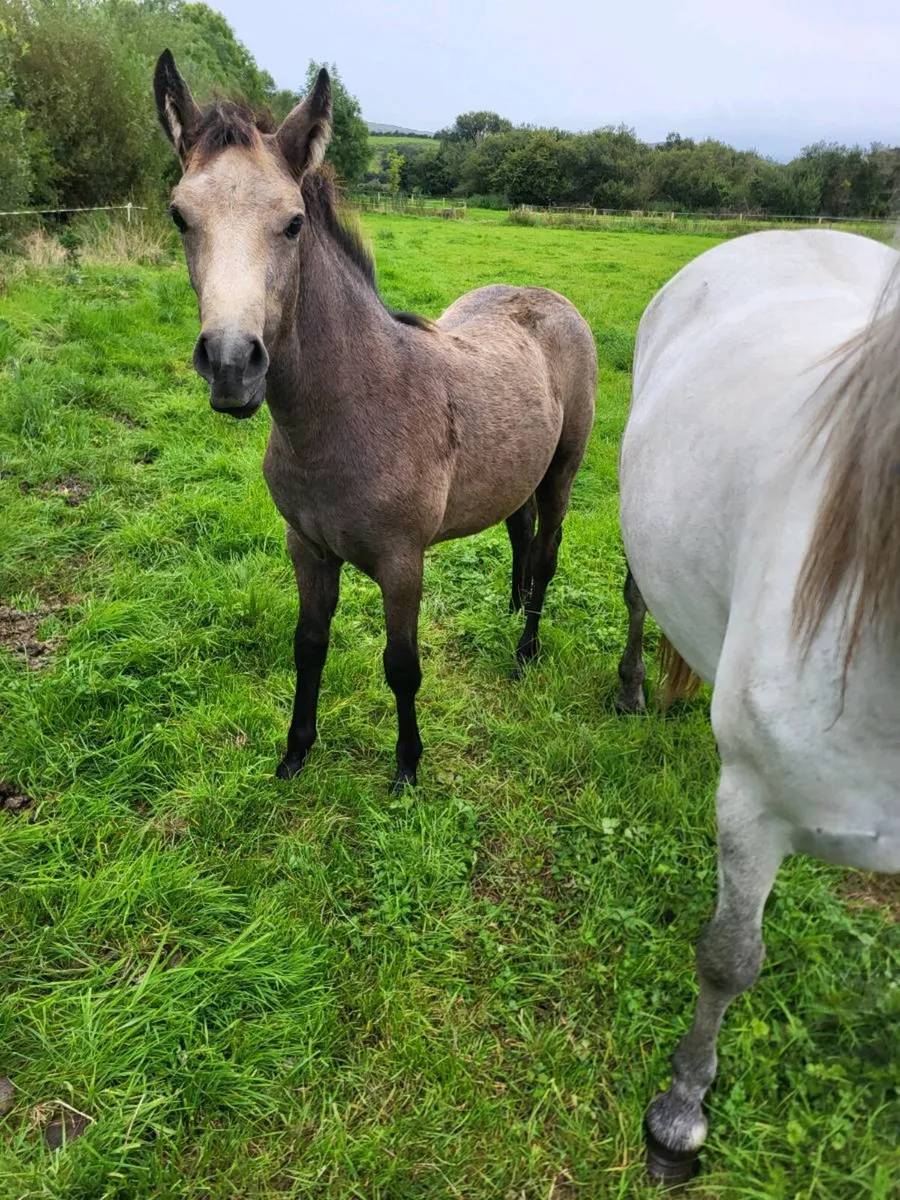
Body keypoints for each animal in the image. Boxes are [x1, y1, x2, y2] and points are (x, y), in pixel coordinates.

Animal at [152, 53, 597, 792]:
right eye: (180, 216)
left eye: (294, 222)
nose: (232, 363)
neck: (351, 411)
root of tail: (551, 298)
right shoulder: (305, 547)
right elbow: (308, 646)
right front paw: (295, 752)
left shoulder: (401, 562)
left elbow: (402, 666)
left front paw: (408, 766)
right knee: (521, 532)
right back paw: (510, 608)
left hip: (563, 468)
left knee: (548, 553)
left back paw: (525, 647)